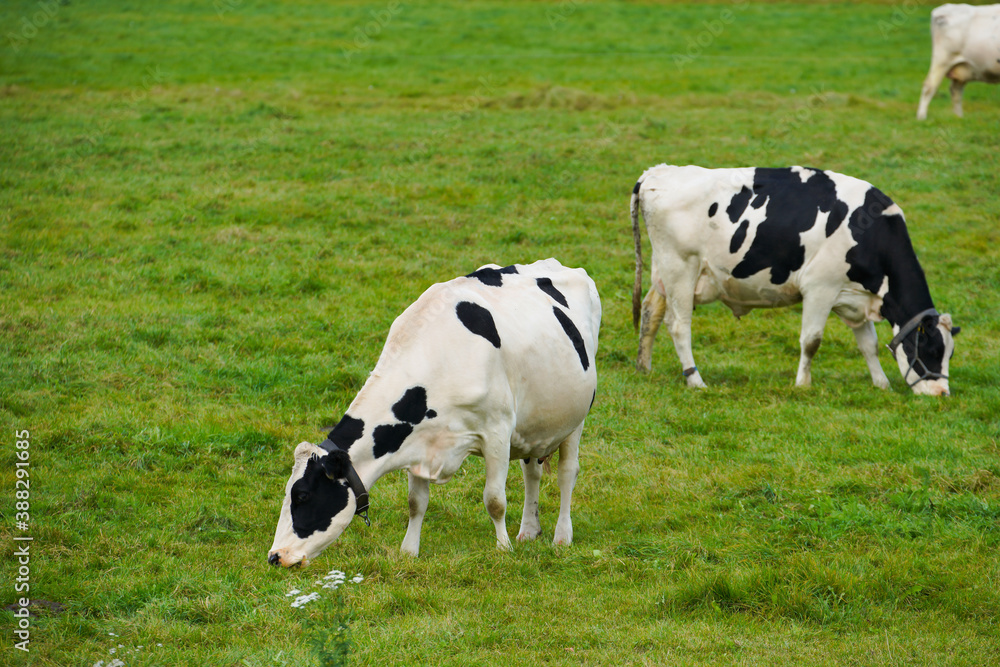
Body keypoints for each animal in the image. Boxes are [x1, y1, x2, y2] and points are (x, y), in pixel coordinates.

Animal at [268, 258, 600, 568]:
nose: (275, 556)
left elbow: (495, 500)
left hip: (576, 418)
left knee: (567, 473)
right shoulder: (419, 445)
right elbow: (416, 502)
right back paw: (529, 531)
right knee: (531, 472)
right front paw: (408, 552)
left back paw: (561, 536)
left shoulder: (497, 431)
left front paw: (503, 549)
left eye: (302, 496)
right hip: (533, 426)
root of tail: (557, 264)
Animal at [632, 166, 960, 396]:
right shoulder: (819, 288)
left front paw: (881, 384)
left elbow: (869, 344)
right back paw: (696, 380)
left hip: (664, 272)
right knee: (678, 326)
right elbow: (812, 340)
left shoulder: (851, 296)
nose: (942, 393)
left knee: (650, 312)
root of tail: (659, 171)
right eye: (933, 350)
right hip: (681, 269)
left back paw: (644, 368)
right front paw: (803, 384)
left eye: (950, 353)